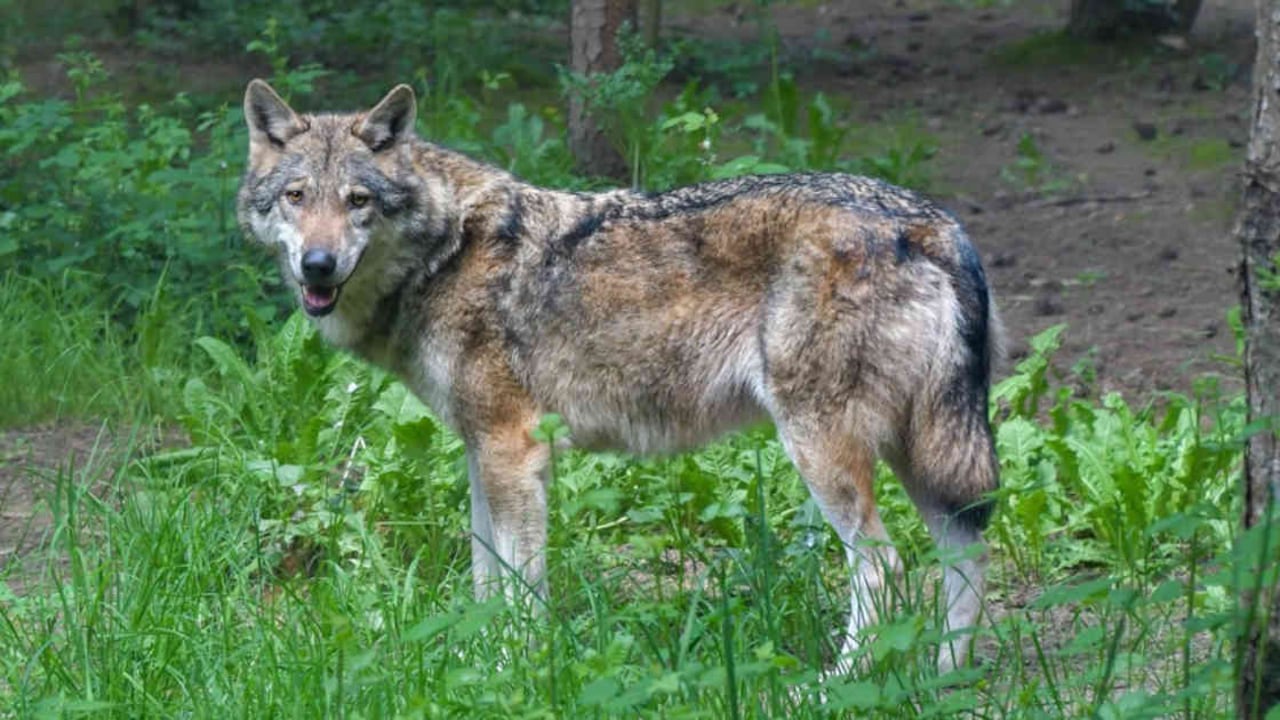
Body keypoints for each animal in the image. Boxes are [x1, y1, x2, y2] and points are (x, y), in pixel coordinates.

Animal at [237, 80, 1001, 671]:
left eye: (358, 201)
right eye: (297, 196)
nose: (317, 265)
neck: (447, 252)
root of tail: (934, 223)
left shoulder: (515, 451)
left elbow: (521, 590)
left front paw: (516, 670)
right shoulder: (482, 454)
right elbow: (486, 582)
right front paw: (475, 665)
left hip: (825, 451)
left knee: (887, 569)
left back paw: (830, 688)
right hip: (921, 453)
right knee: (965, 554)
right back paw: (943, 680)